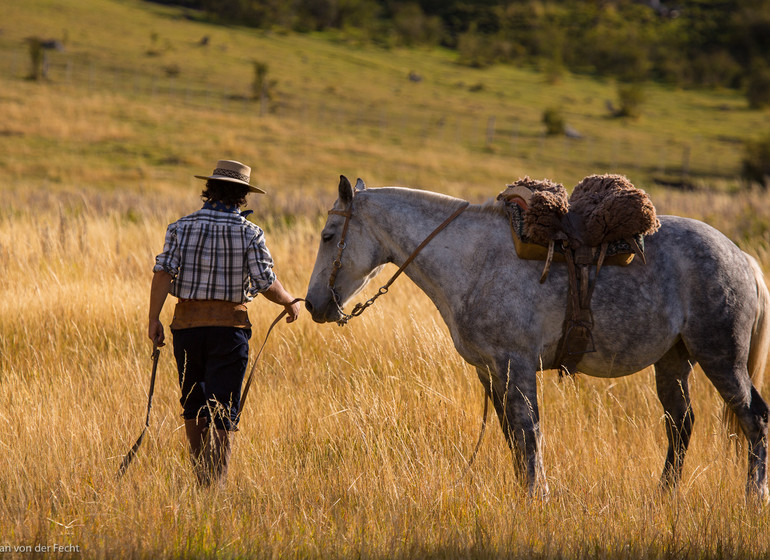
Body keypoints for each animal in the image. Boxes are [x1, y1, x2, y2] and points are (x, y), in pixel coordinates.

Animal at [304, 177, 764, 500]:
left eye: (328, 235)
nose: (311, 305)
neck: (472, 260)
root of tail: (742, 257)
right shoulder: (491, 371)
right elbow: (512, 435)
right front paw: (526, 492)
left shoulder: (517, 365)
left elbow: (528, 432)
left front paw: (535, 495)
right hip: (673, 361)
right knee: (680, 425)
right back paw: (664, 496)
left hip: (721, 358)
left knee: (754, 418)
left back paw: (754, 498)